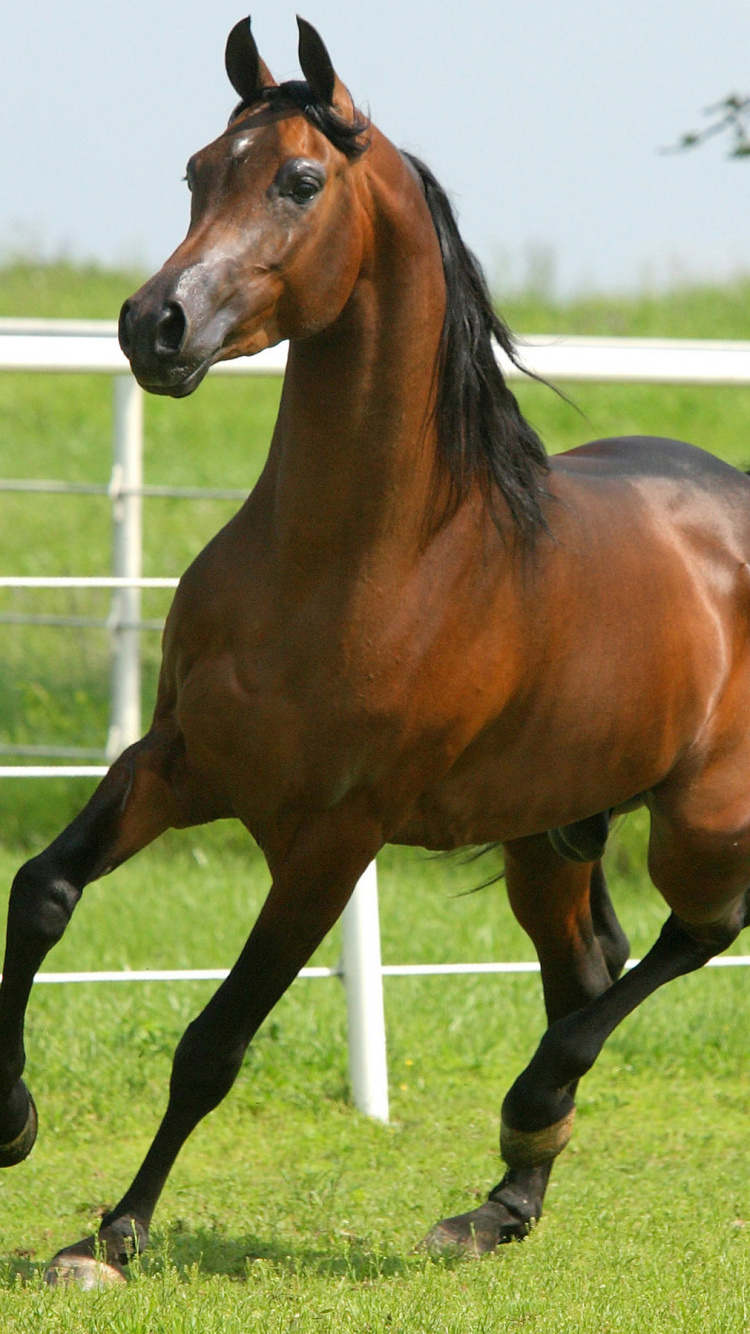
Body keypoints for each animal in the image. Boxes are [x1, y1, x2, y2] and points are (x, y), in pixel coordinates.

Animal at [2, 15, 750, 1286]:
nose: (154, 326)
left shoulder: (334, 837)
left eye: (300, 180)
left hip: (700, 819)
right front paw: (12, 1117)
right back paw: (499, 1202)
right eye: (198, 170)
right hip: (547, 831)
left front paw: (112, 1234)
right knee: (587, 966)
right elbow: (42, 889)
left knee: (694, 935)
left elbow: (214, 1040)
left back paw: (529, 1108)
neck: (359, 558)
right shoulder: (178, 760)